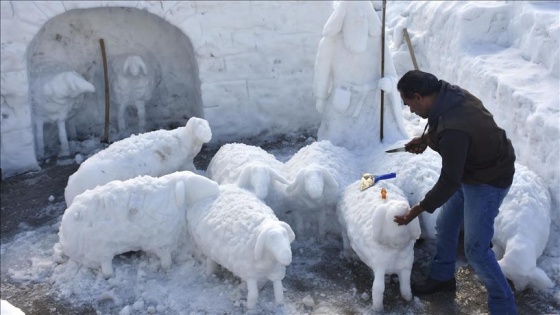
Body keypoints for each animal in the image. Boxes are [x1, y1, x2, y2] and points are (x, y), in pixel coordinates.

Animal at [53, 170, 219, 278]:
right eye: (196, 185)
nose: (216, 188)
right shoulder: (162, 243)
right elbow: (166, 260)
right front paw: (167, 269)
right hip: (100, 251)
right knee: (106, 265)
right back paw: (110, 276)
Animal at [336, 179, 420, 312]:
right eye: (395, 218)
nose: (402, 206)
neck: (394, 249)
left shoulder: (405, 268)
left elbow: (406, 285)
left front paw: (408, 298)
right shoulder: (380, 267)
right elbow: (378, 288)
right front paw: (378, 308)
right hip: (343, 227)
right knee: (345, 239)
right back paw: (349, 255)